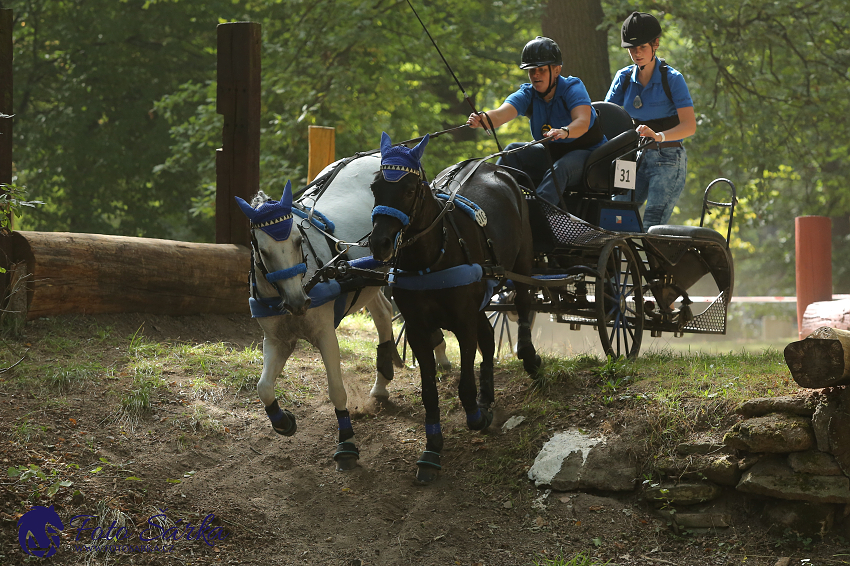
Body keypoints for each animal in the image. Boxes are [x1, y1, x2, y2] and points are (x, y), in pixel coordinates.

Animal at [235, 153, 450, 472]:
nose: (299, 302)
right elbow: (264, 388)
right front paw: (283, 422)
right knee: (383, 313)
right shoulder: (277, 341)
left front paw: (346, 444)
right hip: (369, 279)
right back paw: (382, 380)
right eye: (263, 250)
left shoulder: (326, 334)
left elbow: (336, 389)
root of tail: (376, 155)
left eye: (298, 241)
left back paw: (440, 355)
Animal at [366, 133, 536, 484]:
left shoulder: (463, 322)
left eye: (409, 190)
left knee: (525, 303)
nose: (380, 243)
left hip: (523, 259)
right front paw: (432, 448)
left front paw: (476, 416)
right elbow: (429, 390)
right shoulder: (419, 329)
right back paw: (488, 395)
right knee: (489, 338)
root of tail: (493, 167)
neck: (433, 257)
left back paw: (529, 355)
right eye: (375, 187)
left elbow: (465, 382)